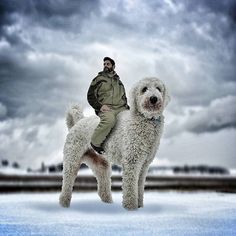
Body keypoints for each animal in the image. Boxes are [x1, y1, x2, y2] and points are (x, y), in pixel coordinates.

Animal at [59, 78, 170, 210]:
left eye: (158, 88)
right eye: (144, 89)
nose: (154, 98)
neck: (144, 119)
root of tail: (78, 122)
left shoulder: (144, 165)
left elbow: (139, 187)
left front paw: (140, 207)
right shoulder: (132, 161)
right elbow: (130, 188)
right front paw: (131, 208)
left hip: (101, 164)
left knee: (102, 187)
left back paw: (108, 204)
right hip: (72, 158)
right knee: (67, 183)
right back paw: (64, 204)